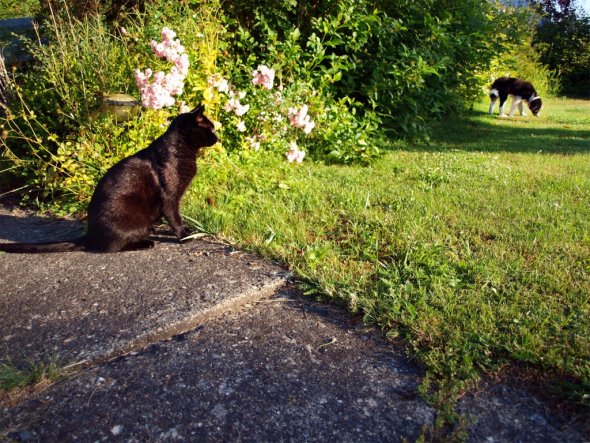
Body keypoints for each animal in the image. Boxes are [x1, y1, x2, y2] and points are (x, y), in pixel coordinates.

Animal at [0, 103, 217, 253]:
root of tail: (89, 235)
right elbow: (175, 218)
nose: (218, 137)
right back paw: (146, 242)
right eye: (211, 128)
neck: (182, 149)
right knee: (112, 247)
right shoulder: (170, 197)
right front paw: (185, 236)